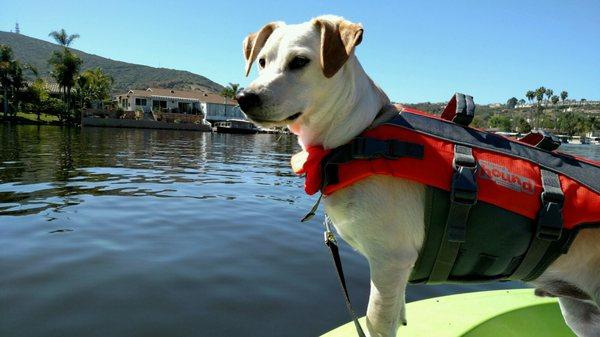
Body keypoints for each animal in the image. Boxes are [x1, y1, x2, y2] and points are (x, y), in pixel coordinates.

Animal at [236, 14, 600, 334]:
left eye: (299, 61)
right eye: (262, 62)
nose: (244, 97)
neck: (357, 132)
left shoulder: (390, 262)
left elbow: (376, 324)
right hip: (580, 310)